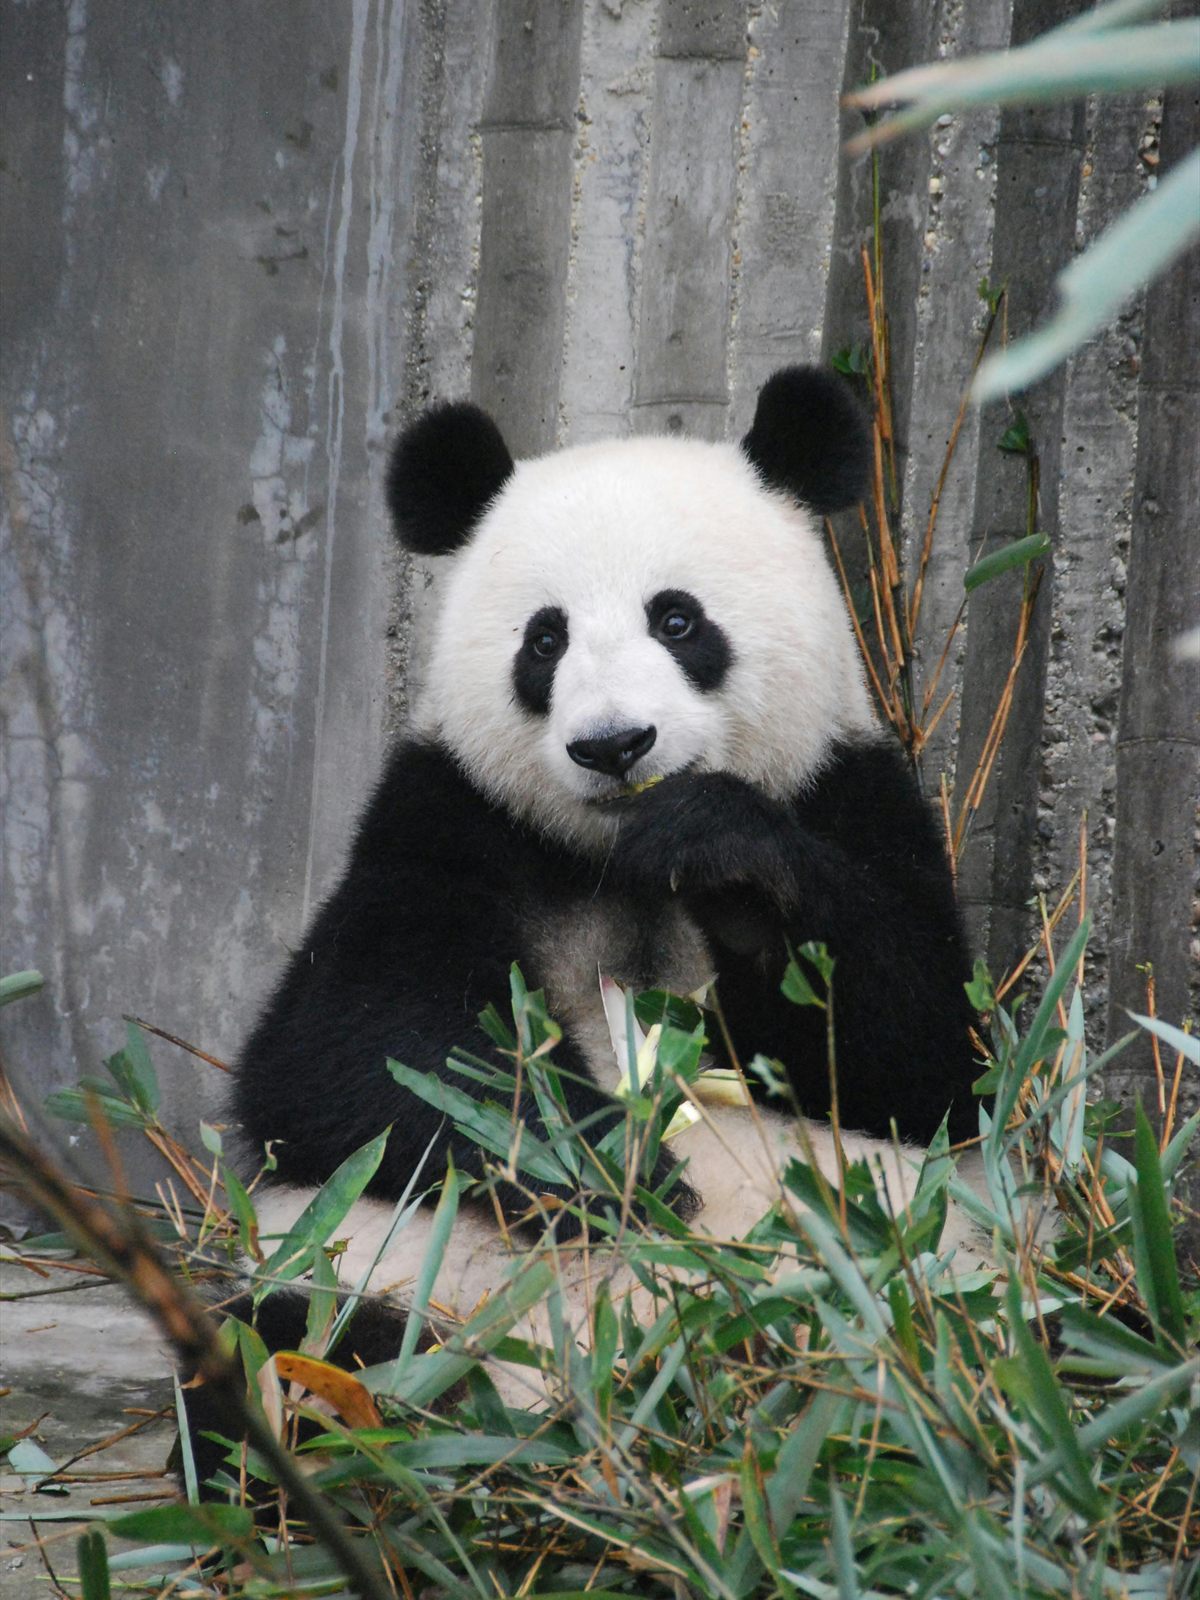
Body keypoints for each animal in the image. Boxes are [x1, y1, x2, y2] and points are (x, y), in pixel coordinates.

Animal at [225, 366, 990, 1406]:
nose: (614, 745)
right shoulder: (446, 823)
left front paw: (726, 860)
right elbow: (348, 1057)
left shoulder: (850, 794)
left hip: (916, 1291)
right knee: (284, 1345)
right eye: (545, 641)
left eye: (678, 619)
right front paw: (615, 1165)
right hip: (363, 1273)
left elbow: (925, 1057)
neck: (616, 854)